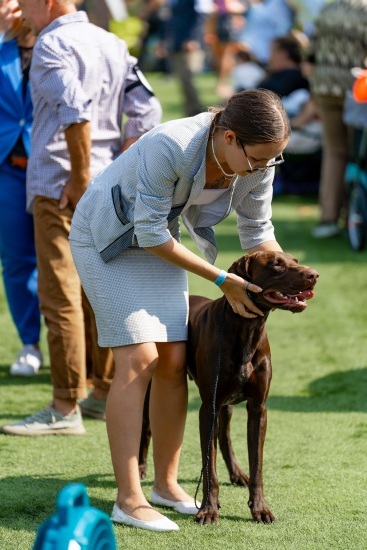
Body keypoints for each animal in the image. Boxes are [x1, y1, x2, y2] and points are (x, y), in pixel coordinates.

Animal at [139, 250, 320, 528]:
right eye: (276, 264)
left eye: (296, 261)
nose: (314, 275)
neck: (246, 329)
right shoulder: (208, 409)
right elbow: (209, 469)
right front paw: (208, 509)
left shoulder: (257, 409)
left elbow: (257, 466)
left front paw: (260, 508)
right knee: (147, 427)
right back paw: (140, 467)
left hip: (226, 404)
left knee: (224, 437)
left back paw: (236, 473)